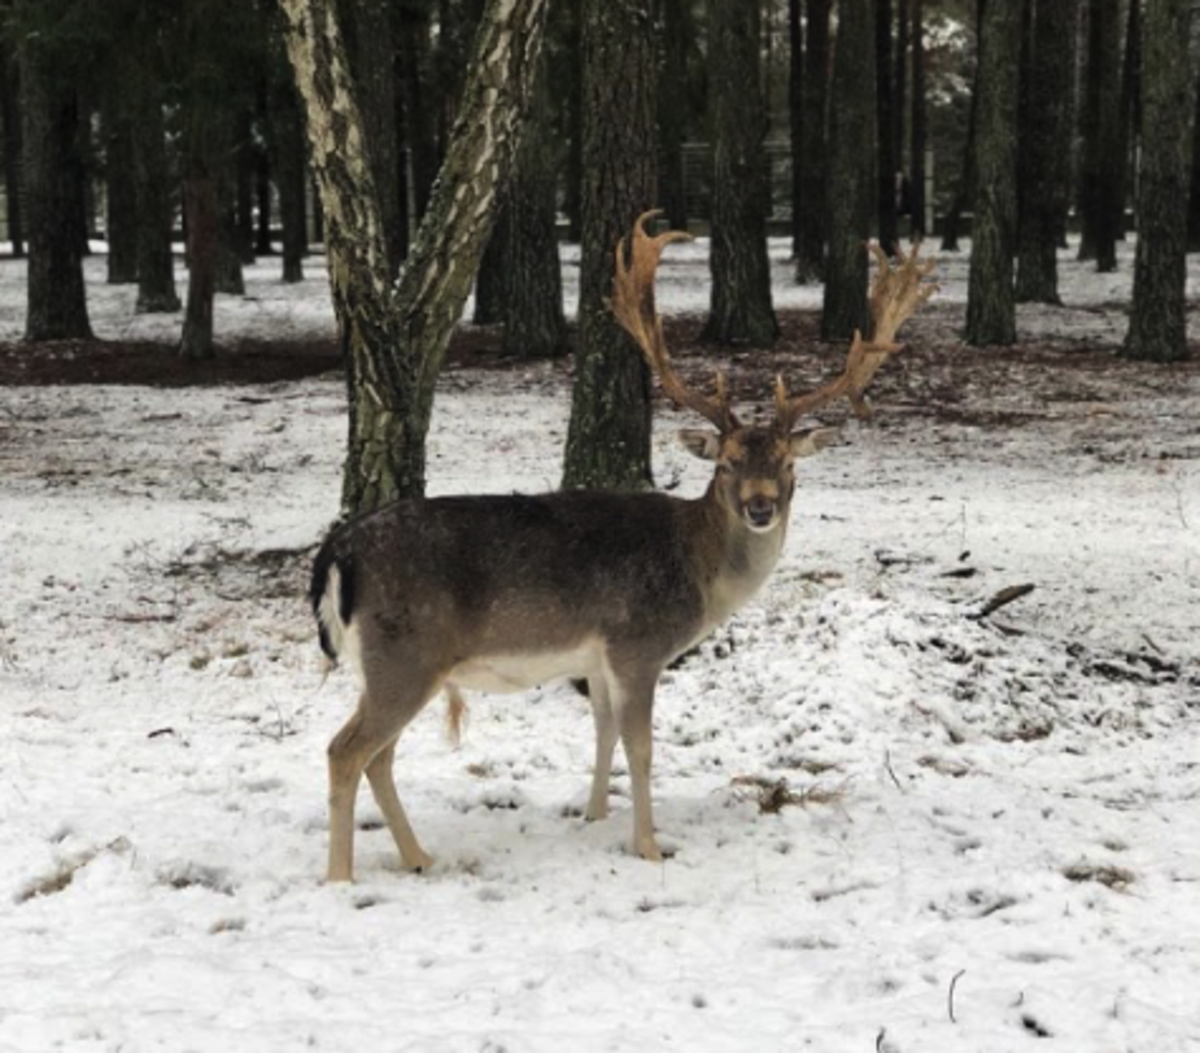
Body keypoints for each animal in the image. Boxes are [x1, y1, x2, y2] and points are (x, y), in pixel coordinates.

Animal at [309, 212, 936, 882]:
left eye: (788, 464)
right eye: (728, 463)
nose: (760, 506)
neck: (700, 570)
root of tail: (339, 551)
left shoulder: (597, 659)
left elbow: (603, 733)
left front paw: (594, 816)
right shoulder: (637, 643)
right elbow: (641, 747)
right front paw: (649, 845)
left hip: (395, 663)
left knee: (377, 755)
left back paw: (419, 856)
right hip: (405, 652)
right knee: (345, 750)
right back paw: (342, 876)